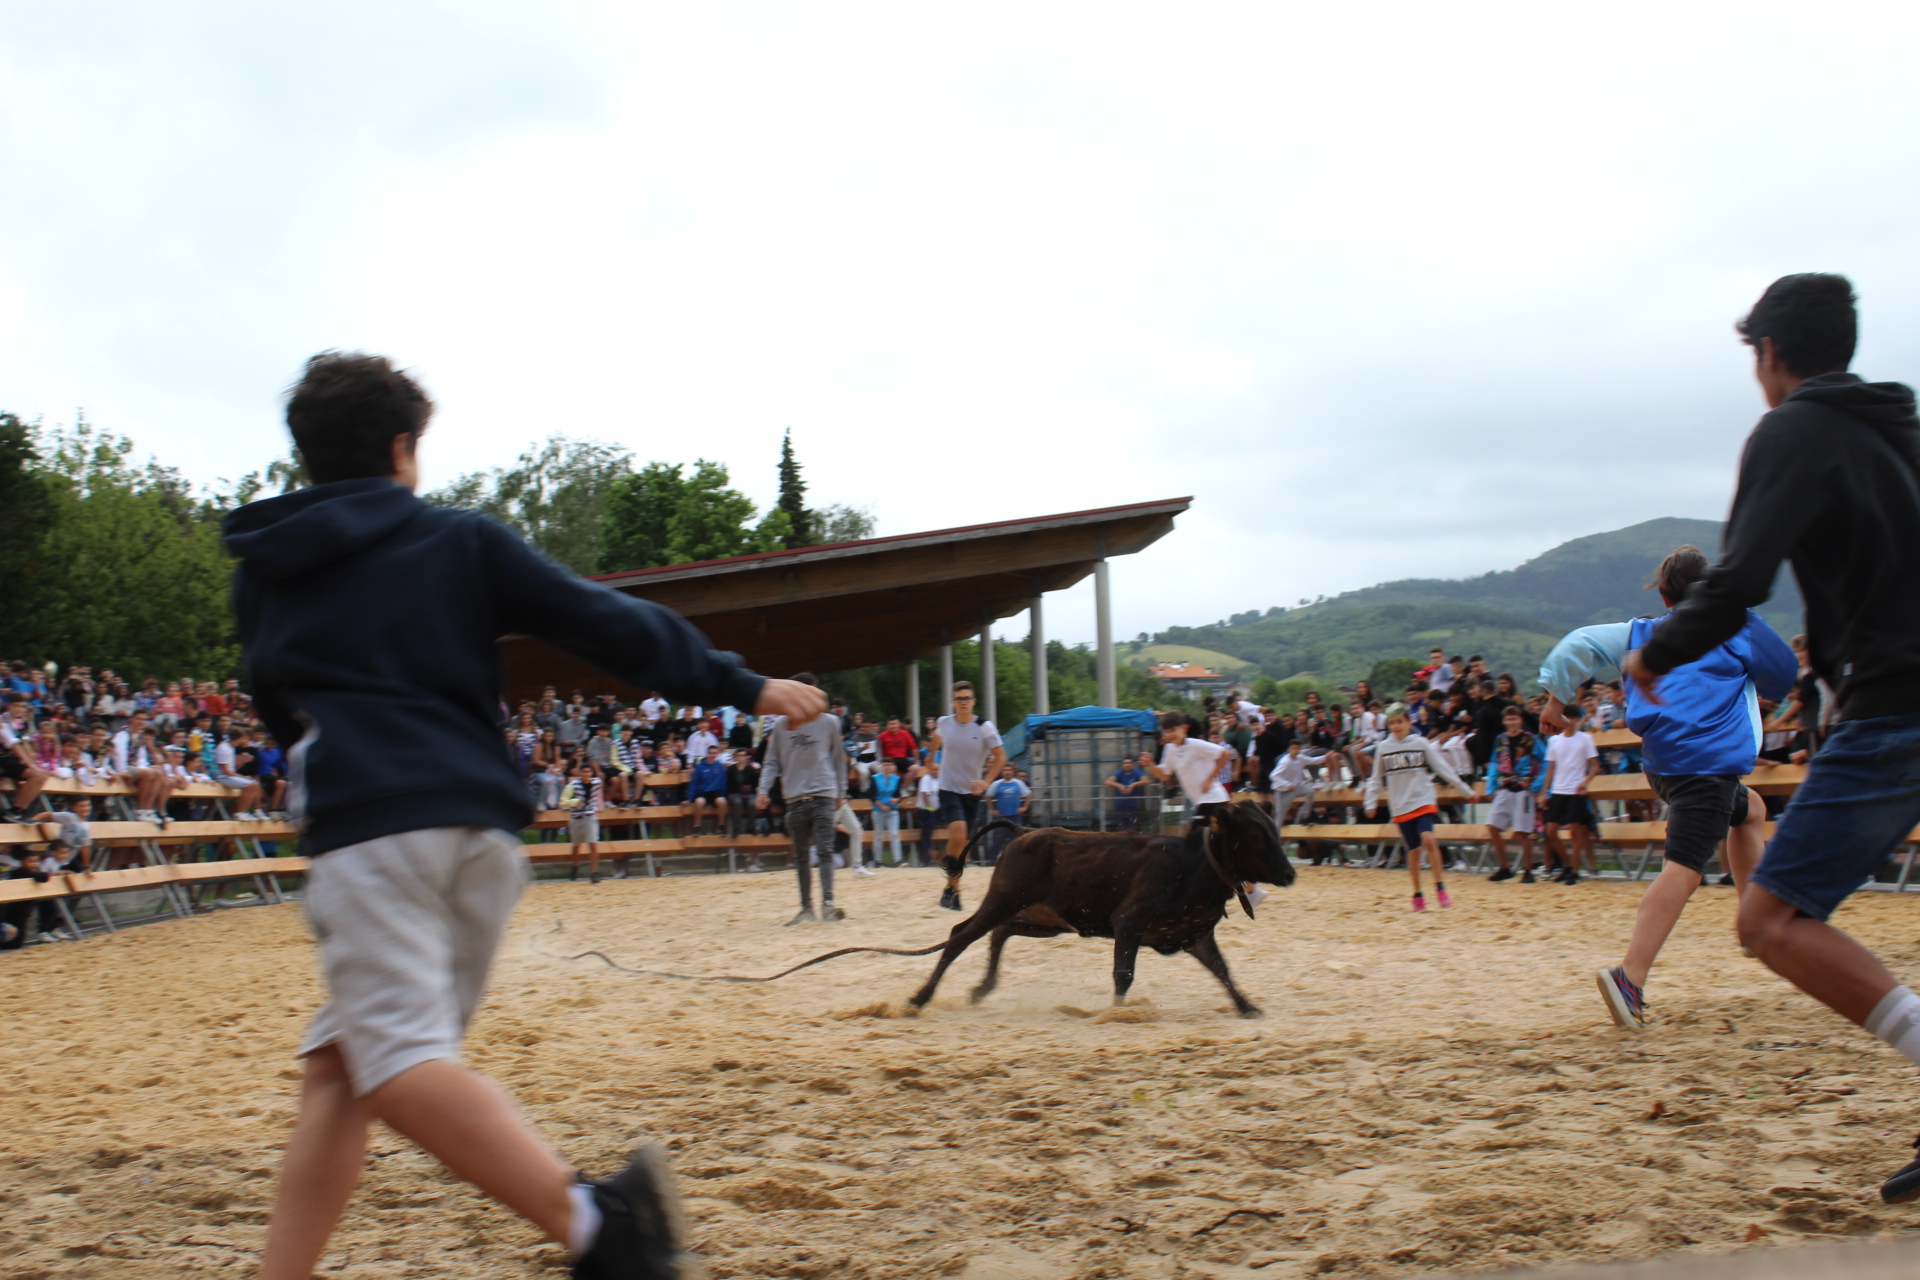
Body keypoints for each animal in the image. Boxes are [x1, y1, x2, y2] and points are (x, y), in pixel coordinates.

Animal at [908, 802, 1295, 1018]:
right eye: (1255, 835)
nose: (1290, 873)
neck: (1193, 865)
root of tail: (1023, 830)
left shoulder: (1194, 934)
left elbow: (1222, 970)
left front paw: (1248, 1007)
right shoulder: (1129, 921)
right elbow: (1124, 974)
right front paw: (1115, 1013)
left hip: (1044, 919)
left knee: (1001, 932)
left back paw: (980, 989)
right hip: (1003, 899)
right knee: (961, 936)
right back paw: (919, 998)